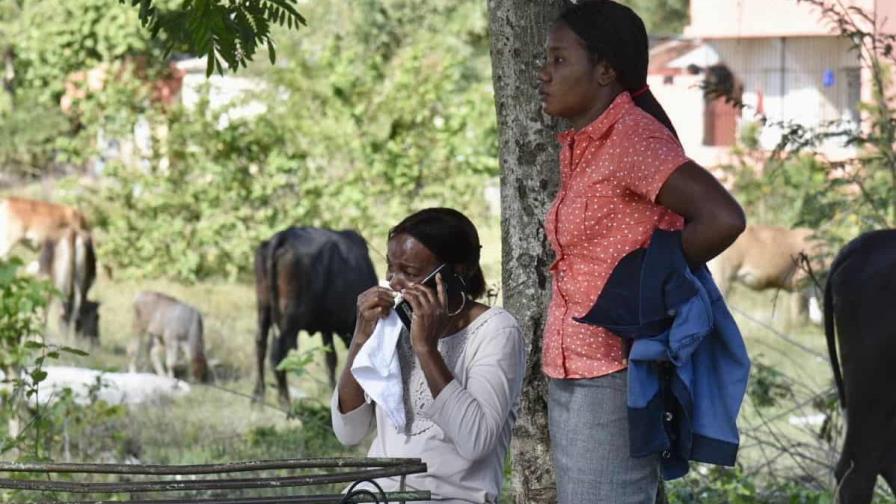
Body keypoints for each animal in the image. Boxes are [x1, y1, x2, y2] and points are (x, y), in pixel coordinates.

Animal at [252, 228, 378, 406]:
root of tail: (284, 235)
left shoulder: (326, 326)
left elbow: (330, 359)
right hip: (290, 319)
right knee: (277, 355)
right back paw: (285, 401)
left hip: (263, 307)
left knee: (260, 345)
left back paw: (258, 395)